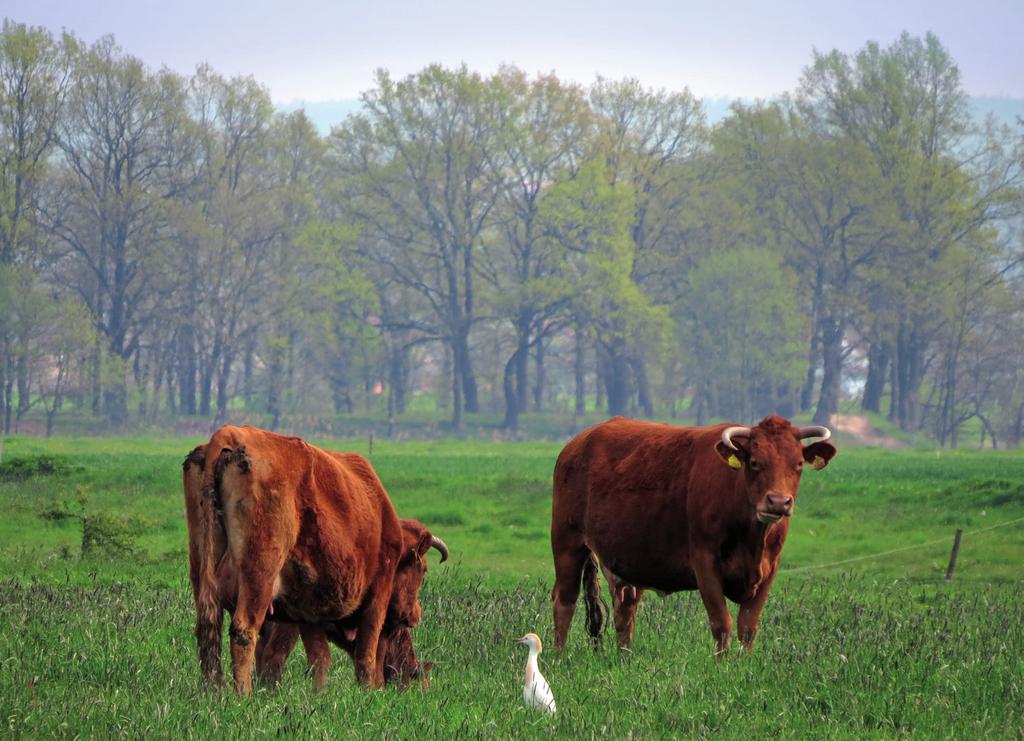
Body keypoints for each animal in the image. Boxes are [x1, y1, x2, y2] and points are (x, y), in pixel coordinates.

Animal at [184, 425, 423, 691]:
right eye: (421, 570)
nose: (415, 614)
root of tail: (229, 435)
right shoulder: (377, 597)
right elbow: (366, 655)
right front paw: (368, 690)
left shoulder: (308, 612)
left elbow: (319, 657)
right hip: (259, 575)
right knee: (244, 631)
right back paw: (243, 693)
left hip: (201, 569)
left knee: (207, 629)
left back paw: (214, 692)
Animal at [552, 417, 831, 655]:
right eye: (754, 462)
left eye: (798, 465)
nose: (778, 502)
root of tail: (578, 442)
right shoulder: (704, 563)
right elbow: (722, 623)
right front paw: (723, 667)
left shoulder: (769, 568)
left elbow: (748, 627)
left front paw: (745, 665)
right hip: (567, 542)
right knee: (564, 600)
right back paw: (560, 656)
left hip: (628, 560)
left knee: (625, 609)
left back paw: (624, 658)